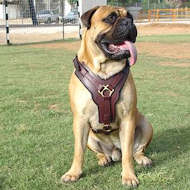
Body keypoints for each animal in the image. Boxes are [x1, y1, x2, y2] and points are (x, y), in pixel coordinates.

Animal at [60, 5, 153, 187]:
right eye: (110, 18)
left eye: (130, 17)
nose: (129, 22)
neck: (105, 69)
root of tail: (114, 151)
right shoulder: (80, 120)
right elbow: (78, 150)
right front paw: (74, 173)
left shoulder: (128, 118)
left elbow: (128, 155)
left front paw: (129, 176)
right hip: (90, 137)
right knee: (99, 152)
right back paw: (103, 158)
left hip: (146, 124)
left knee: (134, 151)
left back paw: (142, 158)